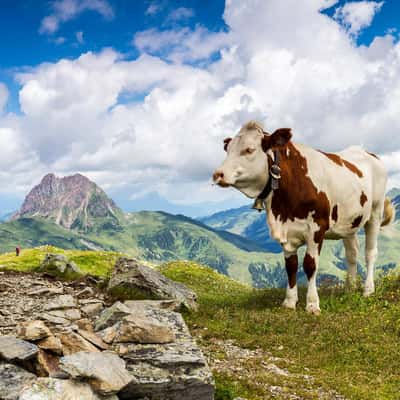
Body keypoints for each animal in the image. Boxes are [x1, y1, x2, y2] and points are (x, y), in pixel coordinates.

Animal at [214, 120, 396, 314]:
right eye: (228, 149)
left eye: (249, 149)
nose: (217, 174)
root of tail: (367, 153)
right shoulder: (287, 231)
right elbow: (291, 266)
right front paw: (289, 301)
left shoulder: (316, 228)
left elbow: (310, 265)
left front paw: (312, 304)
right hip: (349, 221)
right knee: (352, 253)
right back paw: (350, 288)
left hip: (375, 212)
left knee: (370, 252)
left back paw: (368, 289)